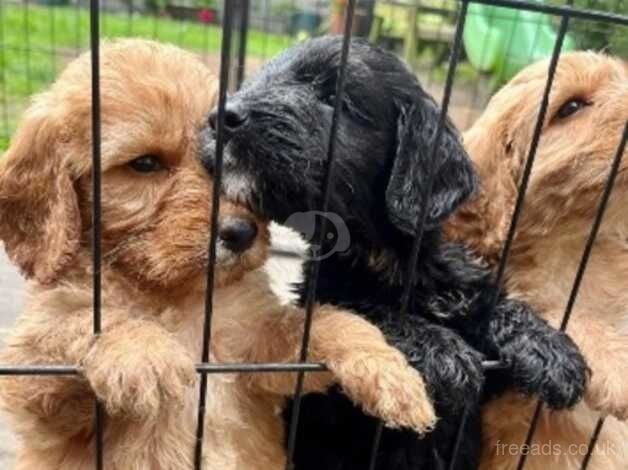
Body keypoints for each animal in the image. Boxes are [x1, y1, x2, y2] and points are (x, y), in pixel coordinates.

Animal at [0, 39, 436, 470]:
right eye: (145, 164)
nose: (242, 233)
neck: (175, 296)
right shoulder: (39, 394)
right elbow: (71, 325)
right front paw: (141, 348)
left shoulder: (257, 351)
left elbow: (322, 323)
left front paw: (389, 369)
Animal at [200, 36, 588, 470]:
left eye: (334, 98)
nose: (222, 117)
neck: (387, 259)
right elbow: (369, 310)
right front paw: (441, 348)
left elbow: (492, 304)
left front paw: (548, 347)